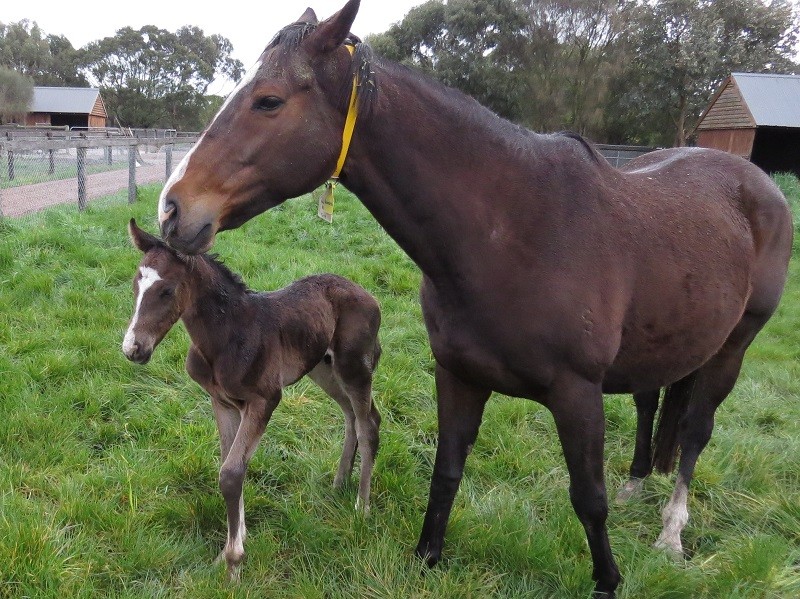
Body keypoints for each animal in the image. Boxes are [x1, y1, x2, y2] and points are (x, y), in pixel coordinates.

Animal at [121, 218, 382, 580]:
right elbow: (230, 463)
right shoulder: (223, 402)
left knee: (368, 424)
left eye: (167, 291)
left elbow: (231, 473)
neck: (226, 336)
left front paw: (233, 562)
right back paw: (339, 483)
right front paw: (233, 544)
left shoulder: (264, 400)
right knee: (351, 417)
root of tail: (370, 296)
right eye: (136, 285)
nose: (133, 349)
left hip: (353, 365)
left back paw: (361, 507)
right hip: (323, 367)